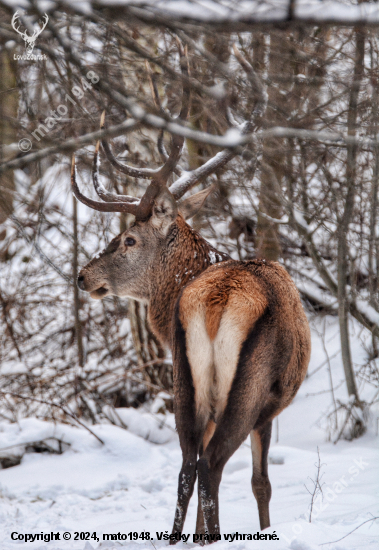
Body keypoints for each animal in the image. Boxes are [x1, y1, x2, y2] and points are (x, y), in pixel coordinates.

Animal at [73, 45, 312, 544]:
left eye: (128, 240)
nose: (83, 276)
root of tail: (216, 302)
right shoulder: (269, 411)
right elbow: (261, 483)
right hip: (248, 389)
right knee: (211, 465)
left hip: (185, 379)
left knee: (187, 465)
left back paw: (179, 537)